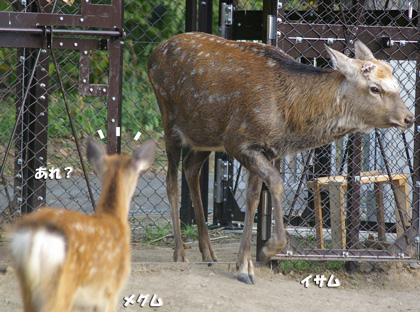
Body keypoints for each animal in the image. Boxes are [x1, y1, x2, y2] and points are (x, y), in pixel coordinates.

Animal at [148, 32, 414, 286]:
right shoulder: (238, 141)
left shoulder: (262, 149)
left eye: (397, 85)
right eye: (375, 88)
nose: (409, 118)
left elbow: (253, 198)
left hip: (206, 135)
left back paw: (208, 253)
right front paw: (267, 251)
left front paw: (244, 266)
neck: (289, 120)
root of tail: (154, 52)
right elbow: (275, 183)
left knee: (190, 168)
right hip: (169, 118)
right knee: (171, 181)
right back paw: (180, 253)